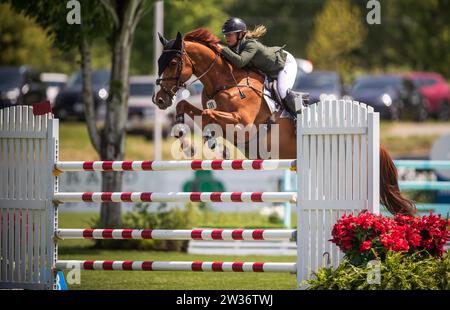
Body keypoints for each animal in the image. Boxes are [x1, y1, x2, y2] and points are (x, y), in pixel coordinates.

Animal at [153, 28, 416, 216]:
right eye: (159, 62)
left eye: (174, 63)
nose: (159, 99)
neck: (225, 82)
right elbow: (186, 106)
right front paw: (184, 136)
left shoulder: (243, 125)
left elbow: (208, 115)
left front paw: (211, 143)